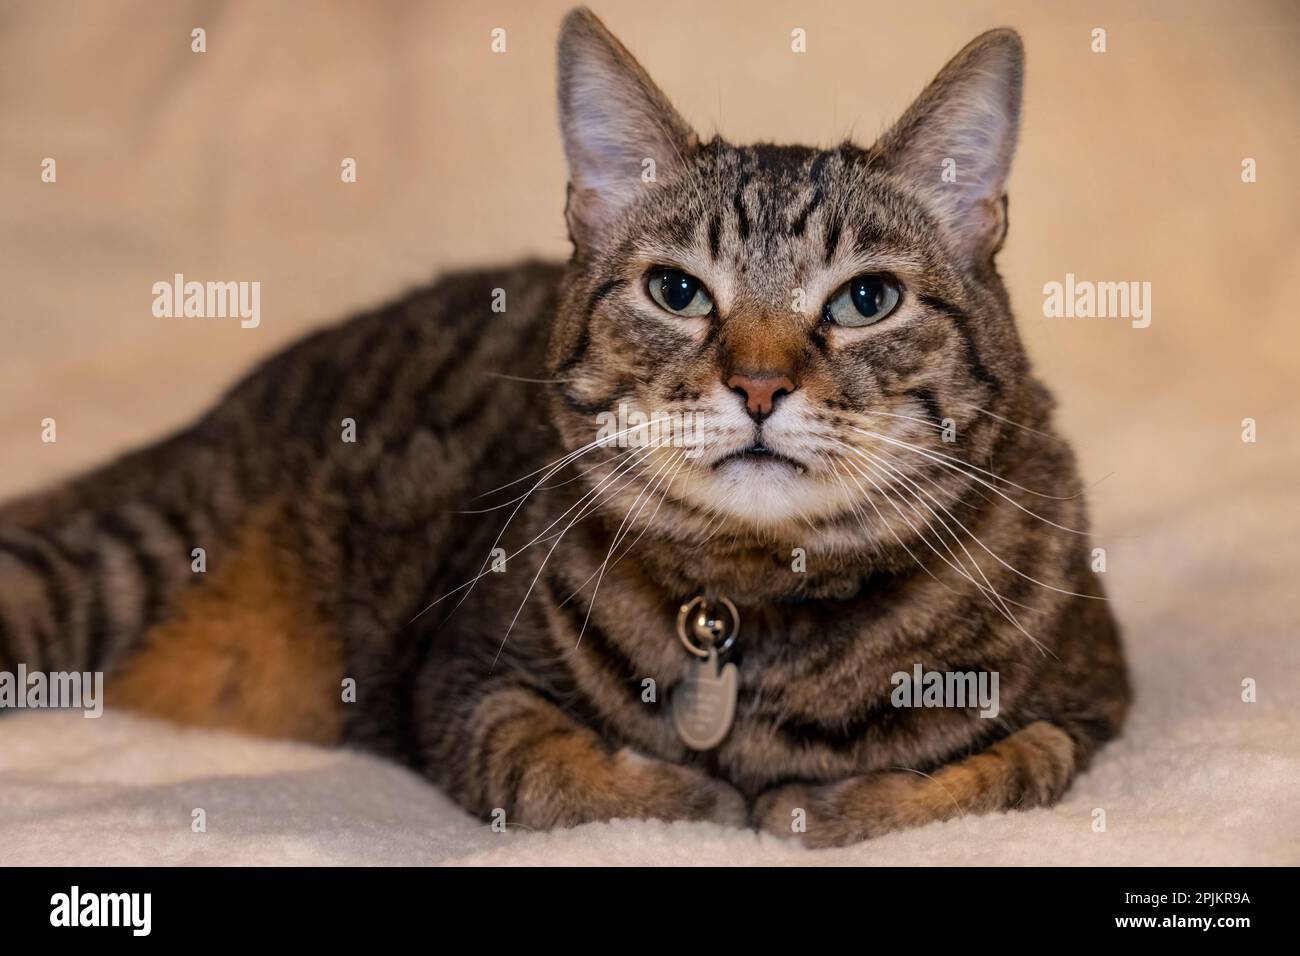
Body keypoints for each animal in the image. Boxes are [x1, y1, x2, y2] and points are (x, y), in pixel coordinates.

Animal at [0, 5, 1128, 842]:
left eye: (866, 301)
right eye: (677, 290)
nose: (759, 386)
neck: (758, 616)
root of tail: (217, 412)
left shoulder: (1090, 704)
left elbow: (992, 772)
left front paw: (816, 804)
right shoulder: (464, 681)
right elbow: (548, 767)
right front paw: (705, 800)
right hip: (121, 565)